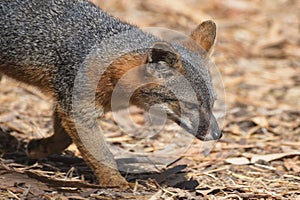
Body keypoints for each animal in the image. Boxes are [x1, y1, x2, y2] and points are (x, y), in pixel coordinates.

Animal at [0, 0, 220, 188]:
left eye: (212, 103)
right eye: (190, 105)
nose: (218, 134)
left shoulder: (67, 97)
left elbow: (64, 138)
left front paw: (39, 147)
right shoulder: (77, 107)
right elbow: (102, 154)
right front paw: (116, 183)